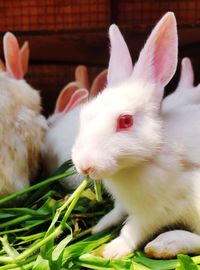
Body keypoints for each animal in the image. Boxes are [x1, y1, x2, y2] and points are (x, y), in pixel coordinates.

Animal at [72, 13, 200, 260]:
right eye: (85, 113)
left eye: (125, 120)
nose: (84, 165)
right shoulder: (124, 204)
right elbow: (117, 212)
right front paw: (99, 226)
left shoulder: (158, 210)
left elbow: (133, 230)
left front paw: (110, 250)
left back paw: (166, 244)